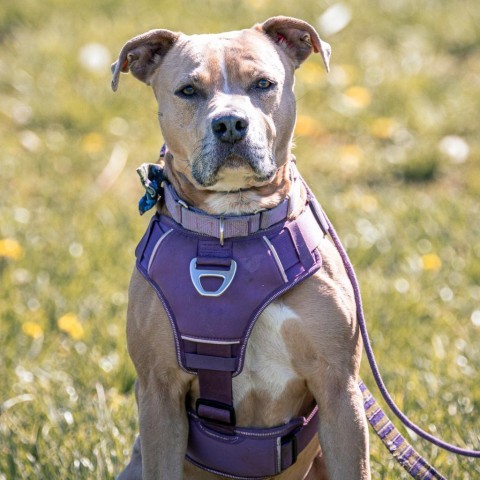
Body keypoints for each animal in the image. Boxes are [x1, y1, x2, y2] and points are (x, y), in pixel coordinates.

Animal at [113, 15, 372, 480]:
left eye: (263, 84)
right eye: (188, 90)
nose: (231, 124)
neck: (229, 231)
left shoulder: (339, 390)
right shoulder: (159, 393)